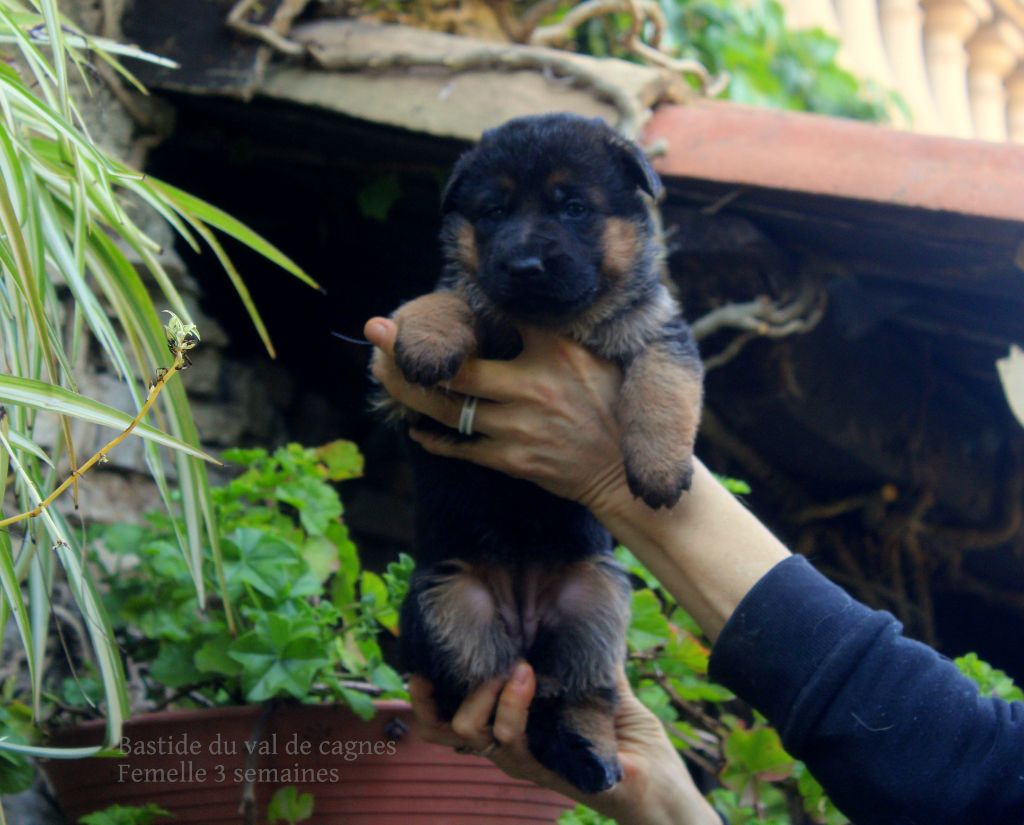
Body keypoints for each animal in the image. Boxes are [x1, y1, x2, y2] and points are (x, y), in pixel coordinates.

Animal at [376, 113, 704, 798]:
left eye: (574, 207)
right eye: (494, 212)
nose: (525, 264)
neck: (551, 324)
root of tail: (523, 616)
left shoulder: (661, 331)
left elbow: (664, 383)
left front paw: (660, 467)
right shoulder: (409, 400)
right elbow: (456, 298)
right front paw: (430, 335)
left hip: (595, 598)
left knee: (578, 693)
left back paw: (585, 751)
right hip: (450, 602)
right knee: (485, 684)